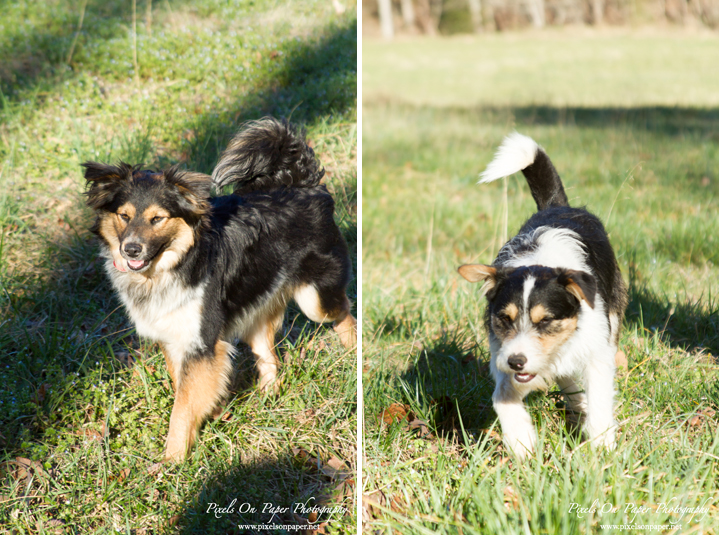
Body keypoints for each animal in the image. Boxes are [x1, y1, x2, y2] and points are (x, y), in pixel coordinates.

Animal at [83, 119, 358, 462]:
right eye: (124, 216)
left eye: (157, 218)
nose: (130, 249)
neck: (175, 263)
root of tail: (300, 183)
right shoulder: (175, 336)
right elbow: (185, 388)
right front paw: (210, 417)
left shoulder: (202, 341)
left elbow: (182, 406)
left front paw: (172, 460)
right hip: (257, 303)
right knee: (268, 355)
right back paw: (267, 398)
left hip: (314, 299)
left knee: (344, 311)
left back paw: (357, 352)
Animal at [462, 134, 624, 460]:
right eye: (504, 318)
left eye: (546, 320)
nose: (517, 362)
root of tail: (556, 206)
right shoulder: (502, 353)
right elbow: (503, 395)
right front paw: (521, 440)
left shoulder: (597, 352)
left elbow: (600, 398)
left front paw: (601, 447)